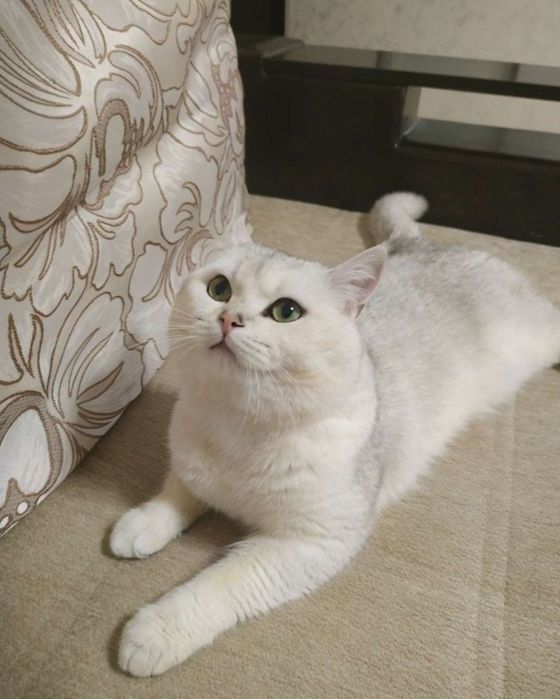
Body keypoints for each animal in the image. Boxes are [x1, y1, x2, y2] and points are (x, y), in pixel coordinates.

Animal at [110, 193, 560, 677]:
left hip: (538, 333)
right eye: (219, 289)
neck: (239, 425)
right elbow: (177, 491)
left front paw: (156, 631)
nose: (229, 319)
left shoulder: (312, 541)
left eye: (286, 312)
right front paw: (143, 524)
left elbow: (219, 583)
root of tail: (418, 245)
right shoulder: (192, 461)